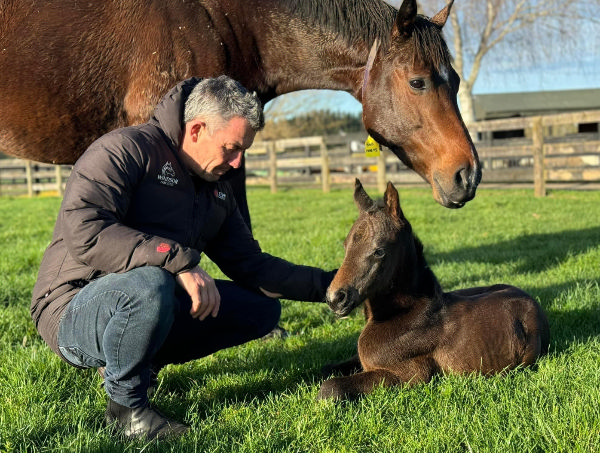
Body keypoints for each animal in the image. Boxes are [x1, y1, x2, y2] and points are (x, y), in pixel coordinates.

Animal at [318, 178, 548, 400]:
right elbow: (325, 368)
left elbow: (330, 388)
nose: (335, 298)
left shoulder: (411, 374)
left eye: (379, 251)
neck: (408, 315)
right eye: (345, 245)